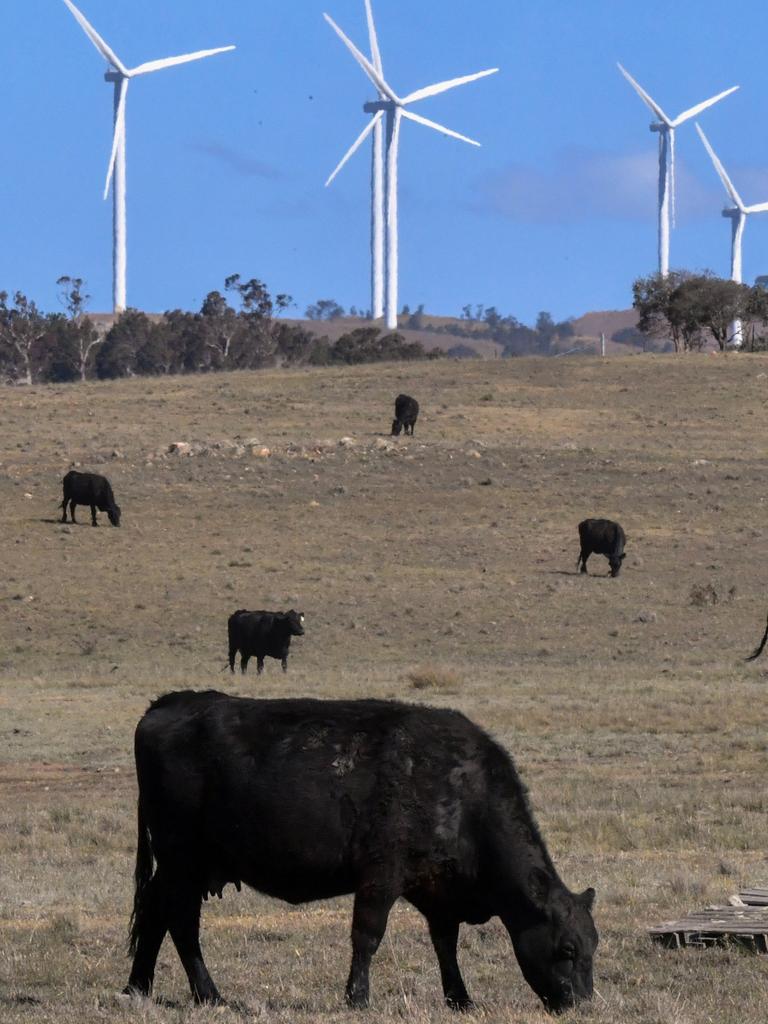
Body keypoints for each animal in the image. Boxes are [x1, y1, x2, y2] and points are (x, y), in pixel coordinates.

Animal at [124, 692, 602, 1011]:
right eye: (567, 949)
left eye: (593, 946)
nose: (581, 1004)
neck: (462, 792)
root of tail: (169, 703)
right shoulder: (381, 875)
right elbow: (367, 936)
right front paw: (357, 997)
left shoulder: (438, 891)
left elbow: (445, 945)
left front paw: (460, 998)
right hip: (181, 860)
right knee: (181, 923)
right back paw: (211, 995)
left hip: (181, 866)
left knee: (154, 913)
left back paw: (137, 987)